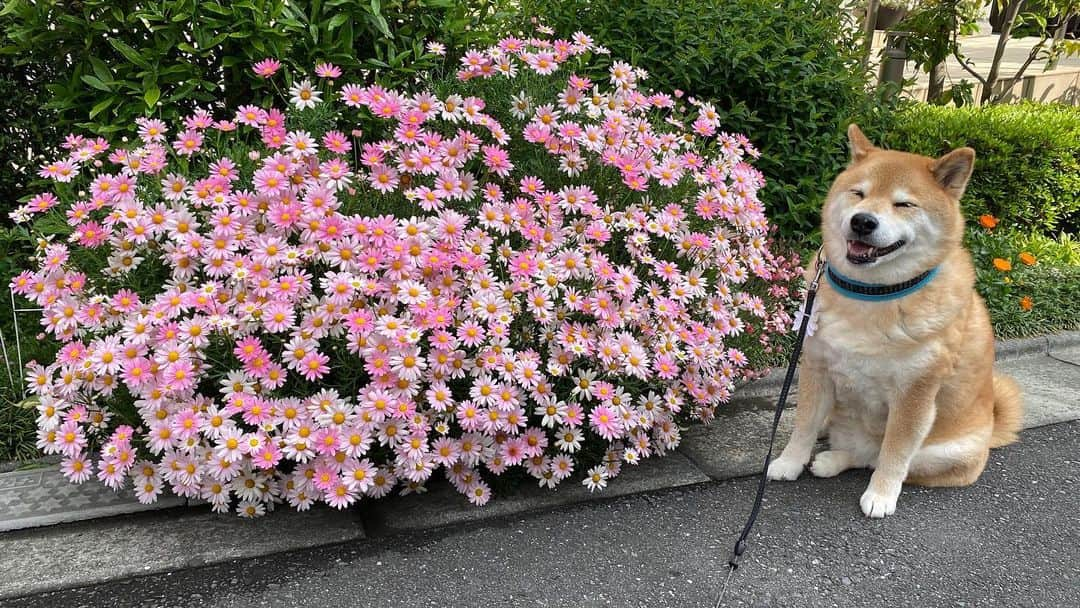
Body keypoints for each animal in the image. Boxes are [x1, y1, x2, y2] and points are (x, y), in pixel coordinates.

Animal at [768, 123, 1019, 518]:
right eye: (859, 193)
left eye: (904, 204)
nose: (862, 221)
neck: (871, 295)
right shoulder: (816, 366)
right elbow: (803, 424)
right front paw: (788, 462)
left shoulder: (914, 394)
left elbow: (895, 453)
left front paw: (882, 495)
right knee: (854, 446)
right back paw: (829, 454)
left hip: (945, 452)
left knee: (876, 457)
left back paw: (840, 463)